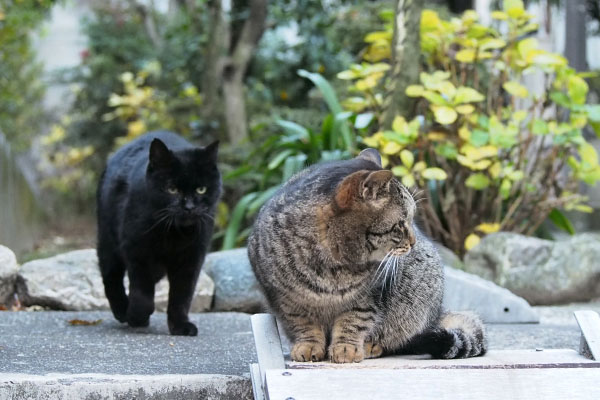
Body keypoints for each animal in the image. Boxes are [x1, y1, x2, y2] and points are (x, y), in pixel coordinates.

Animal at [97, 130, 221, 334]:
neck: (174, 234)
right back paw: (122, 311)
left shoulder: (192, 258)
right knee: (111, 277)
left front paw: (181, 326)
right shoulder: (137, 251)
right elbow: (142, 293)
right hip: (107, 241)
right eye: (172, 189)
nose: (189, 207)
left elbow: (182, 296)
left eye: (201, 189)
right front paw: (136, 317)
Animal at [248, 149, 488, 362]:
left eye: (412, 220)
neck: (333, 265)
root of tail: (438, 313)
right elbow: (304, 325)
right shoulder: (287, 300)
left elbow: (353, 322)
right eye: (401, 224)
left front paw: (346, 348)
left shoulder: (370, 296)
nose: (413, 242)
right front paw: (308, 346)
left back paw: (372, 345)